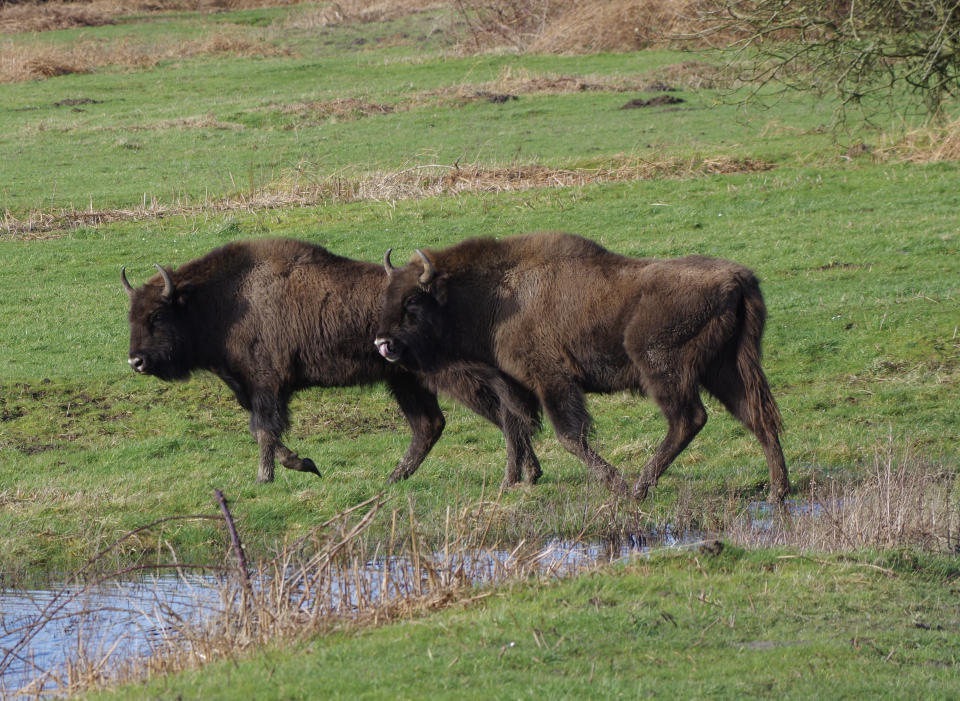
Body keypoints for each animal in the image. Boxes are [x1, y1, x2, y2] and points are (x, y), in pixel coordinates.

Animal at [120, 238, 540, 484]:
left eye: (157, 315)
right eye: (131, 315)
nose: (135, 362)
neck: (221, 301)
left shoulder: (267, 386)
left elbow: (264, 431)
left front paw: (267, 478)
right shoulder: (253, 389)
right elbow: (264, 432)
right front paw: (305, 464)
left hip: (451, 377)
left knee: (501, 413)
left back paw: (520, 476)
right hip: (406, 381)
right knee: (431, 425)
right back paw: (394, 478)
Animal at [374, 232, 788, 500]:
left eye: (412, 301)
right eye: (388, 296)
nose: (382, 344)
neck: (495, 295)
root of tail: (738, 279)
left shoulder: (552, 380)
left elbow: (569, 435)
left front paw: (614, 484)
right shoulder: (513, 385)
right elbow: (514, 429)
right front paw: (510, 484)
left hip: (661, 368)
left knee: (689, 419)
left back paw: (639, 488)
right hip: (726, 370)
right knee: (757, 416)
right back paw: (777, 491)